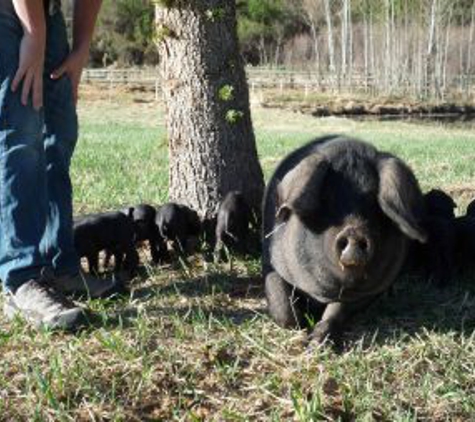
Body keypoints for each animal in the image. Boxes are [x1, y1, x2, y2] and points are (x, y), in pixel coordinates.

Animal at [262, 137, 430, 344]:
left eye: (373, 201)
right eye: (326, 199)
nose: (354, 232)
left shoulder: (368, 292)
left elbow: (337, 310)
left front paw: (316, 343)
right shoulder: (270, 263)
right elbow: (282, 305)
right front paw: (302, 328)